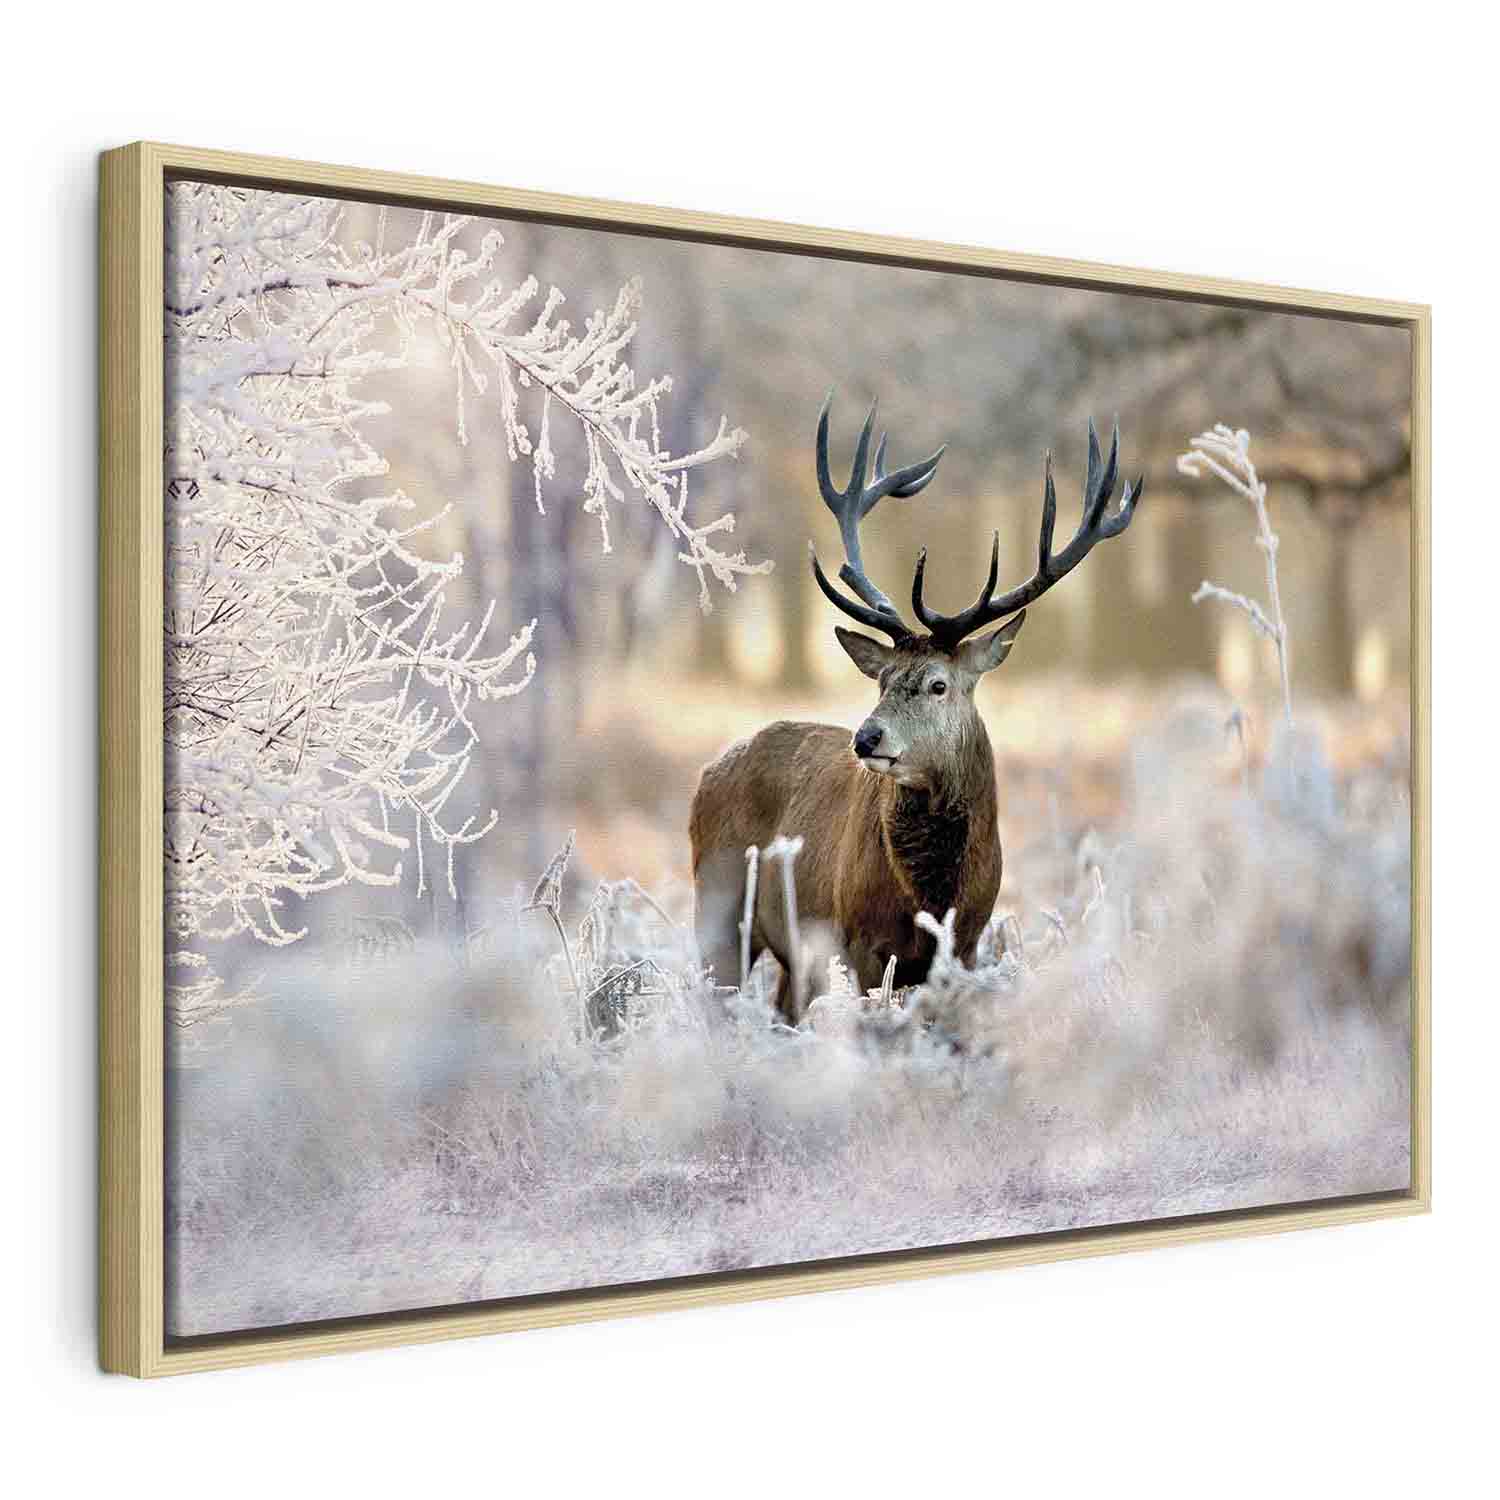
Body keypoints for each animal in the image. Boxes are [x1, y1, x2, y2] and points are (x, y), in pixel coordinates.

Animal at [690, 395, 1143, 1024]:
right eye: (881, 679)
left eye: (937, 685)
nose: (866, 738)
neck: (931, 895)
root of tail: (706, 775)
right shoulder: (855, 939)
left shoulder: (968, 944)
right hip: (718, 903)